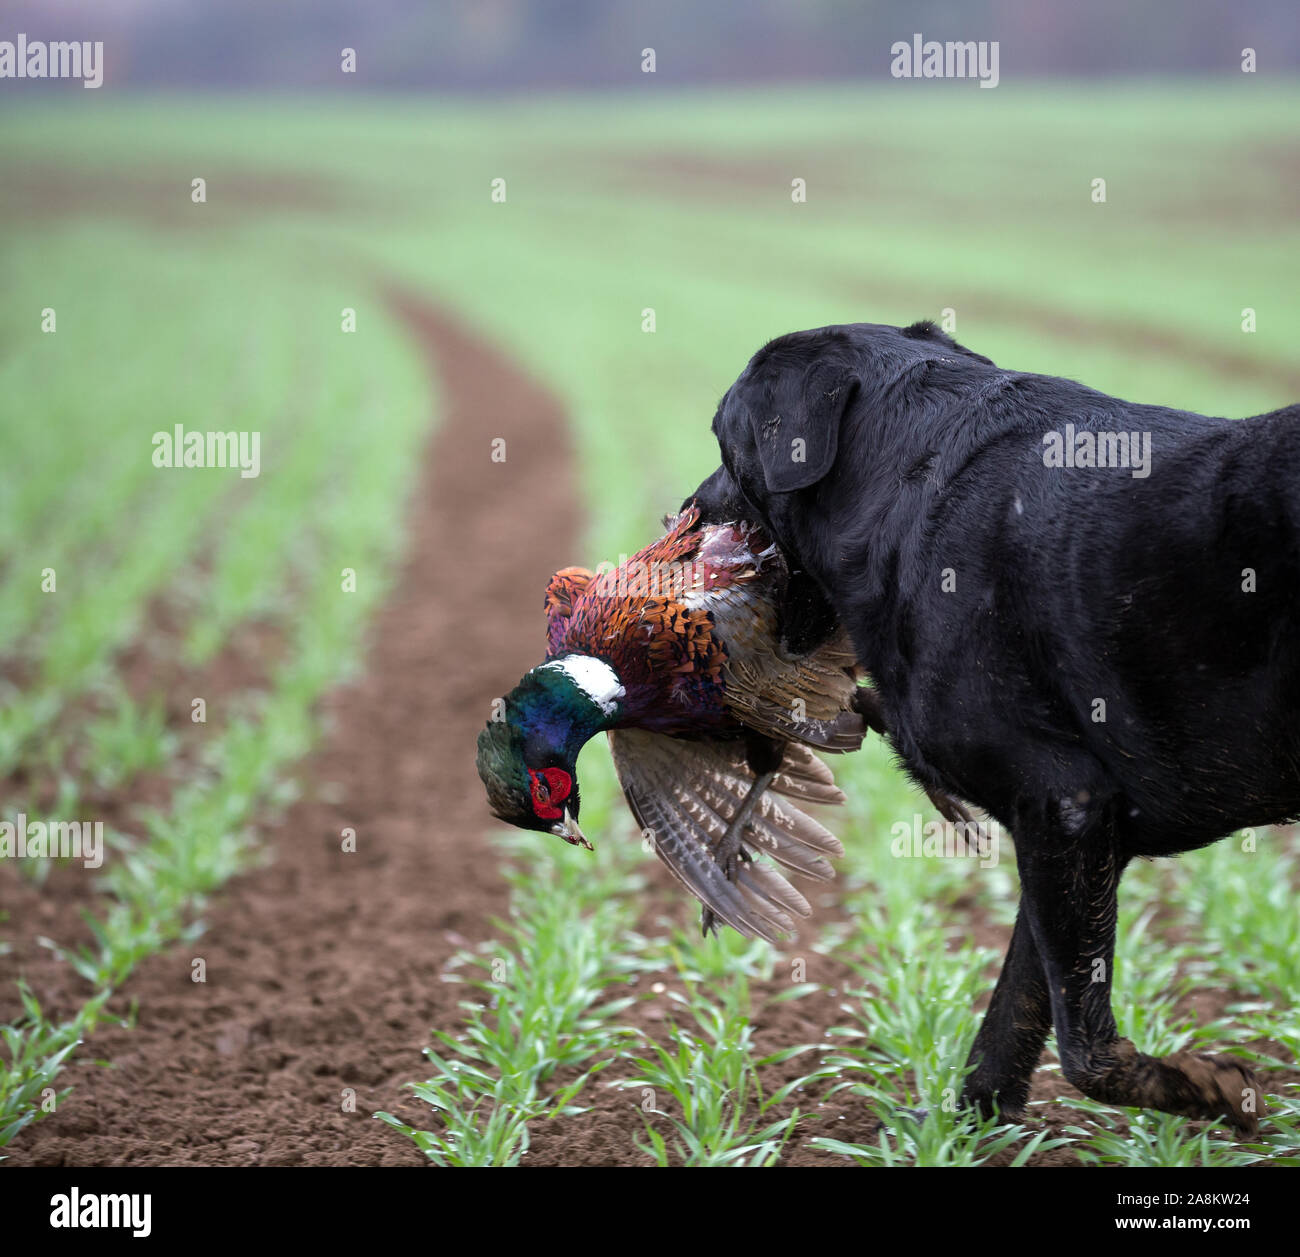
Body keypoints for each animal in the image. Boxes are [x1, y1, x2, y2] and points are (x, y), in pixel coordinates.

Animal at [691, 319, 1300, 1133]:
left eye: (725, 443)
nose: (688, 509)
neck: (901, 485)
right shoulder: (1076, 826)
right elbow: (1022, 998)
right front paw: (965, 1124)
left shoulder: (1063, 802)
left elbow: (1082, 1046)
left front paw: (1207, 1087)